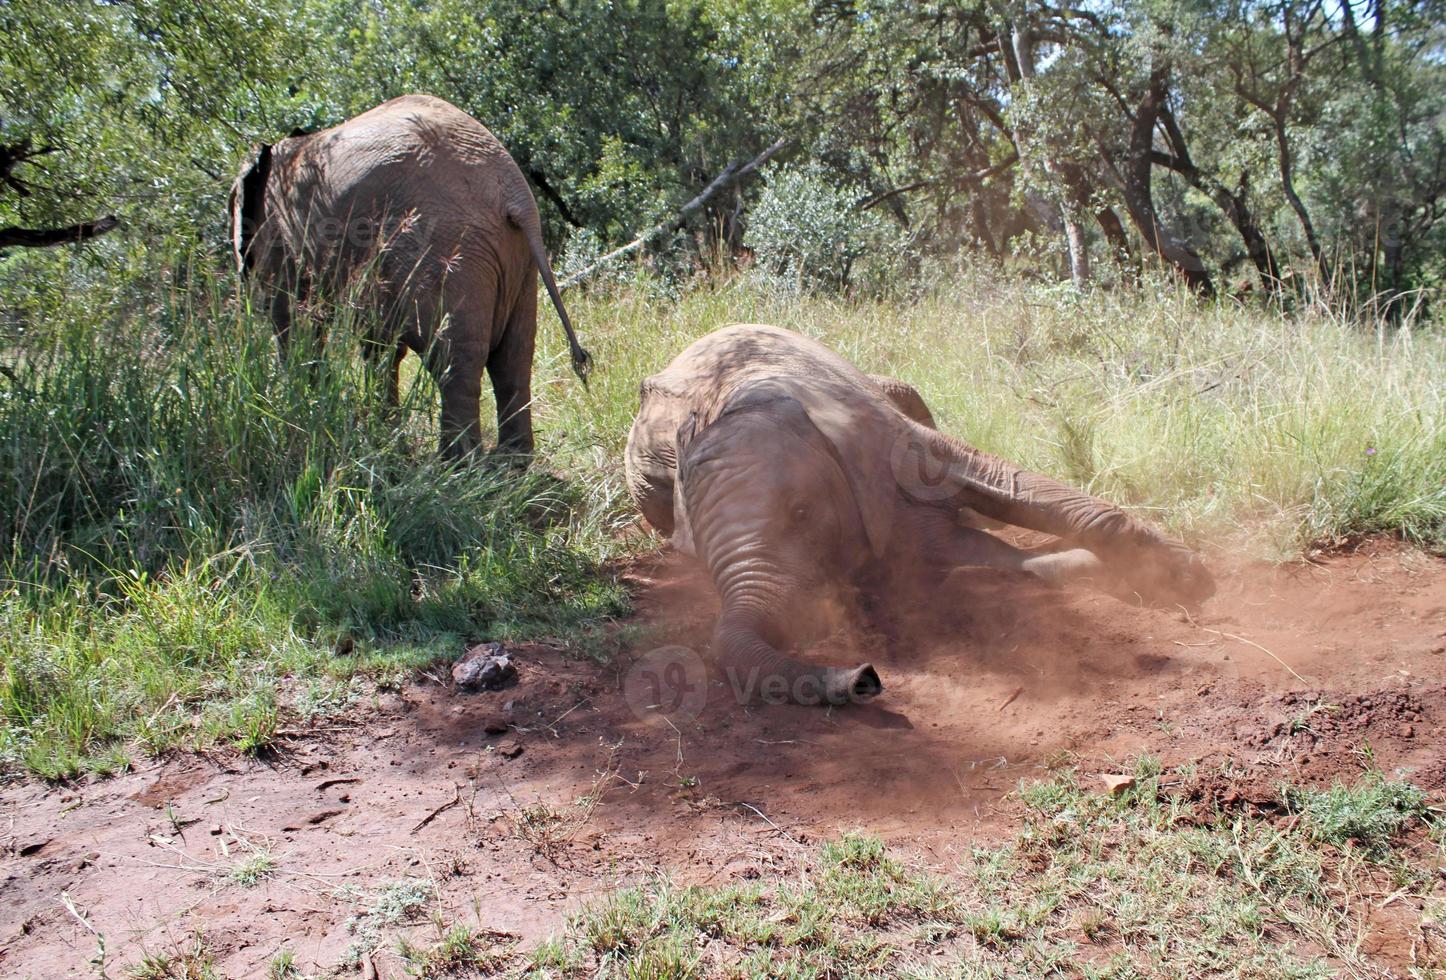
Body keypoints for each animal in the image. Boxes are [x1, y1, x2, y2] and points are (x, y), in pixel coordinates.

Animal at [227, 93, 587, 459]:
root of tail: (514, 193)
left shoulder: (279, 237)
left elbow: (294, 324)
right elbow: (378, 344)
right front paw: (382, 433)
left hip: (445, 249)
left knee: (452, 360)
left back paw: (457, 462)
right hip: (516, 262)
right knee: (513, 356)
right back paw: (511, 462)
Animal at [627, 328, 1214, 705]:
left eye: (801, 512)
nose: (866, 677)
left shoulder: (881, 434)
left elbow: (1006, 484)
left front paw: (1190, 577)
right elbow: (946, 557)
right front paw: (1085, 569)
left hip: (889, 389)